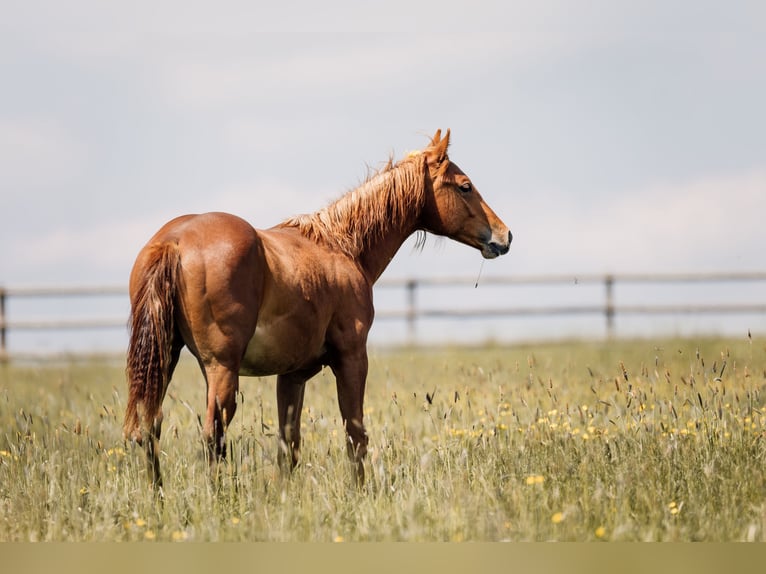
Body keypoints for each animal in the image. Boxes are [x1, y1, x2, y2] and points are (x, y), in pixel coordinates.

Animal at [124, 129, 511, 488]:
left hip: (167, 358)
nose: (504, 236)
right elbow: (355, 435)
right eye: (465, 186)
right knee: (211, 436)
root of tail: (174, 240)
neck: (342, 246)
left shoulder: (292, 375)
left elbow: (289, 446)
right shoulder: (352, 358)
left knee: (149, 427)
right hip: (221, 369)